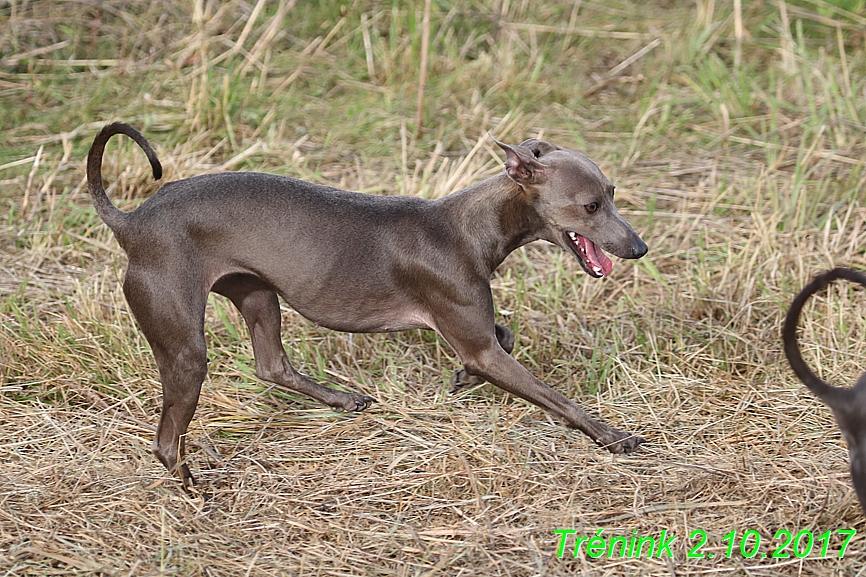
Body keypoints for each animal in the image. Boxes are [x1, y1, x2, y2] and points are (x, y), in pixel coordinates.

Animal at [88, 124, 648, 488]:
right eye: (591, 205)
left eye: (612, 193)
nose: (639, 247)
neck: (468, 228)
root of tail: (132, 221)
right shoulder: (478, 342)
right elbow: (554, 397)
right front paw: (611, 435)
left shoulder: (479, 339)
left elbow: (501, 338)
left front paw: (462, 379)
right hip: (185, 345)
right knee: (167, 439)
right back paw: (192, 488)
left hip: (257, 293)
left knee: (272, 365)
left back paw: (342, 399)